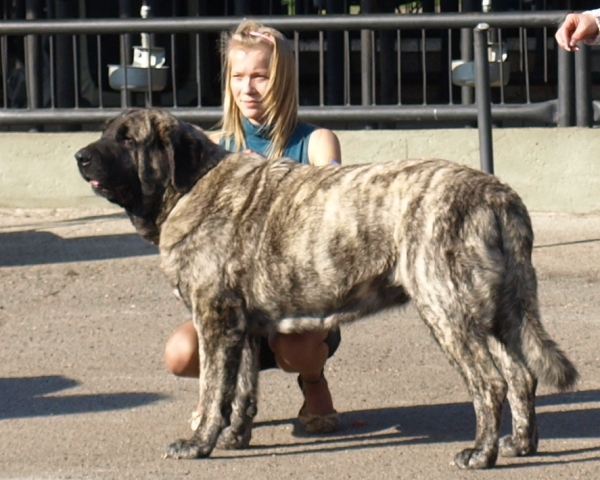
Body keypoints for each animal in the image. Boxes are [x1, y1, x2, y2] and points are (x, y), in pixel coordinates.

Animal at [75, 108, 576, 468]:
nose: (80, 156)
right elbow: (242, 390)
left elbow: (213, 391)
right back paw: (520, 444)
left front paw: (199, 442)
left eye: (127, 138)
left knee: (489, 382)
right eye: (106, 131)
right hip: (499, 313)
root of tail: (498, 194)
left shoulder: (214, 321)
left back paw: (481, 453)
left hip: (447, 312)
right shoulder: (241, 327)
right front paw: (235, 437)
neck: (191, 184)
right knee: (521, 376)